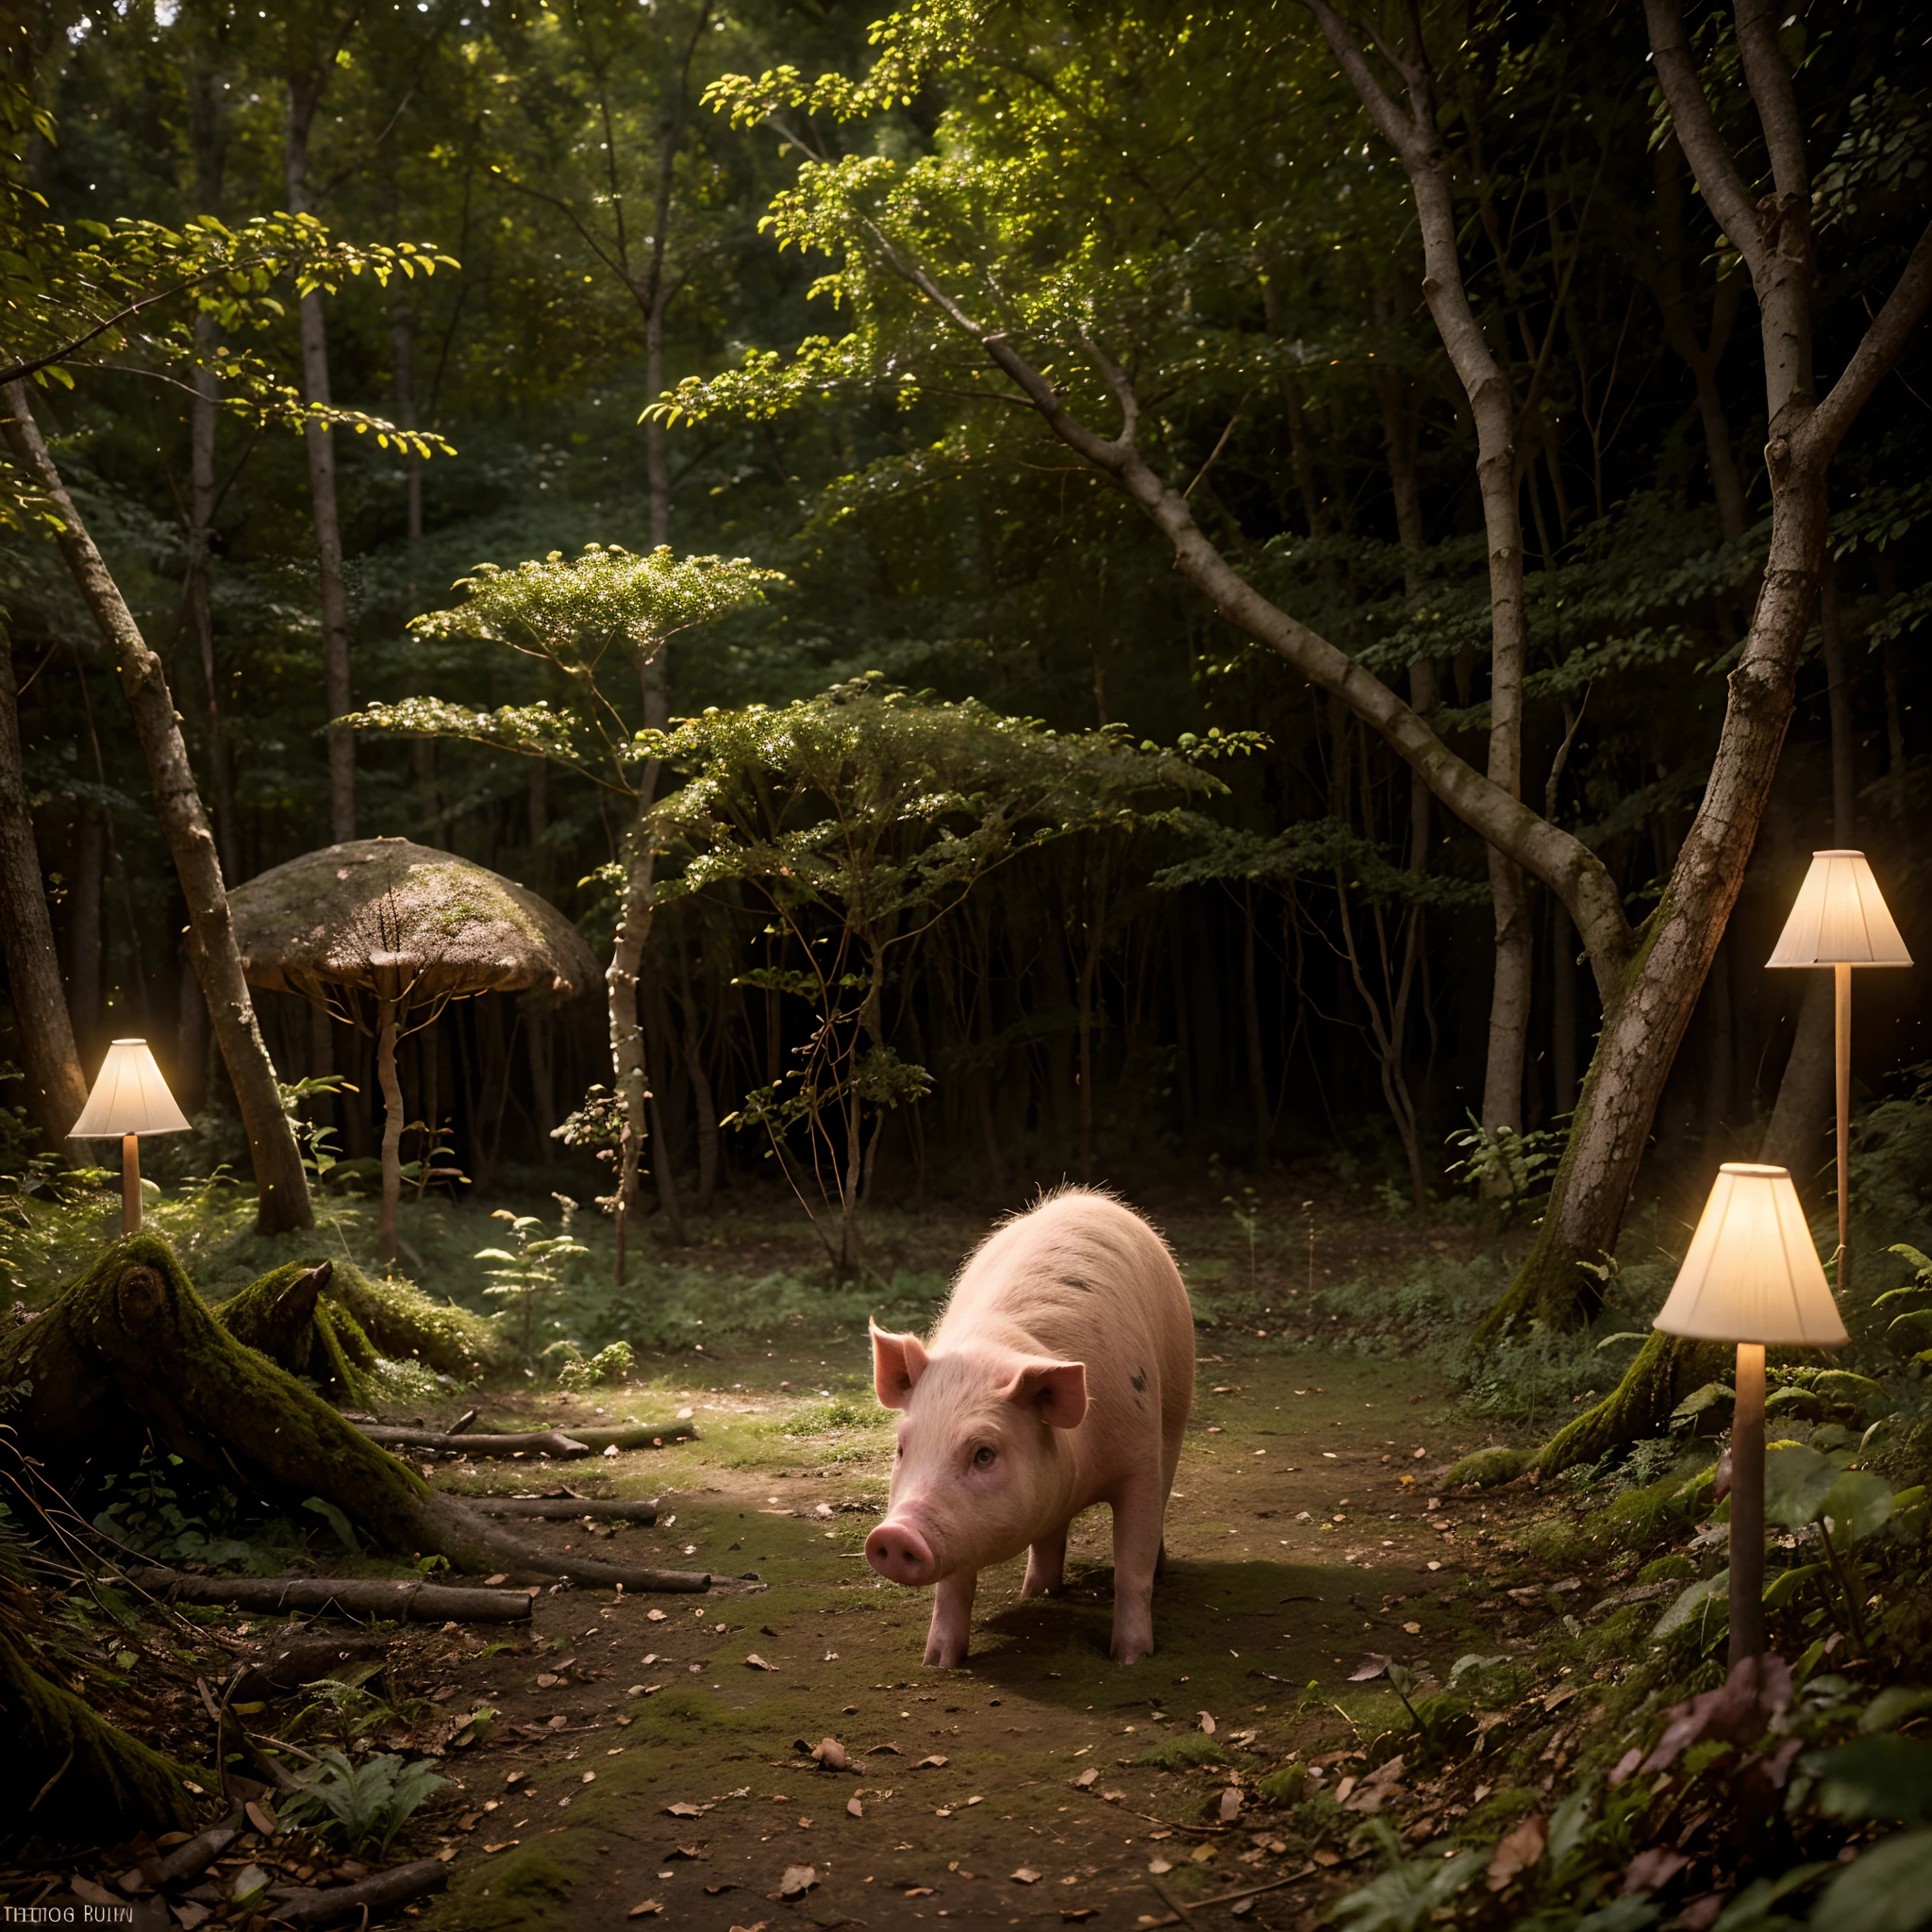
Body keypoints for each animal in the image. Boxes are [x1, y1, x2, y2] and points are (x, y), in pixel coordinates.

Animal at [865, 1182, 1190, 1669]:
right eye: (902, 1448)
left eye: (984, 1453)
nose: (894, 1534)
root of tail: (1085, 1197)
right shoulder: (961, 1527)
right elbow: (953, 1586)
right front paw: (938, 1663)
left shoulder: (1139, 1460)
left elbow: (1131, 1567)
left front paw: (1130, 1659)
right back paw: (1036, 1593)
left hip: (1176, 1413)